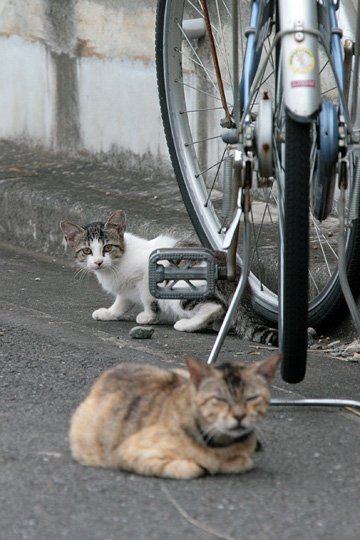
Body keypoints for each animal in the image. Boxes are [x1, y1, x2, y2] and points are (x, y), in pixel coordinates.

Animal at [60, 210, 278, 342]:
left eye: (107, 248)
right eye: (87, 251)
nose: (98, 262)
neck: (115, 265)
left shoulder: (146, 276)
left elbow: (147, 300)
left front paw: (148, 317)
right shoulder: (124, 289)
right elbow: (122, 301)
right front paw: (110, 312)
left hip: (180, 288)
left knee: (214, 306)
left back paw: (188, 324)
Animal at [69, 354, 280, 476]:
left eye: (252, 398)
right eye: (220, 399)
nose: (239, 416)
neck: (221, 445)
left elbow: (243, 462)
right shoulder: (126, 453)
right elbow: (194, 468)